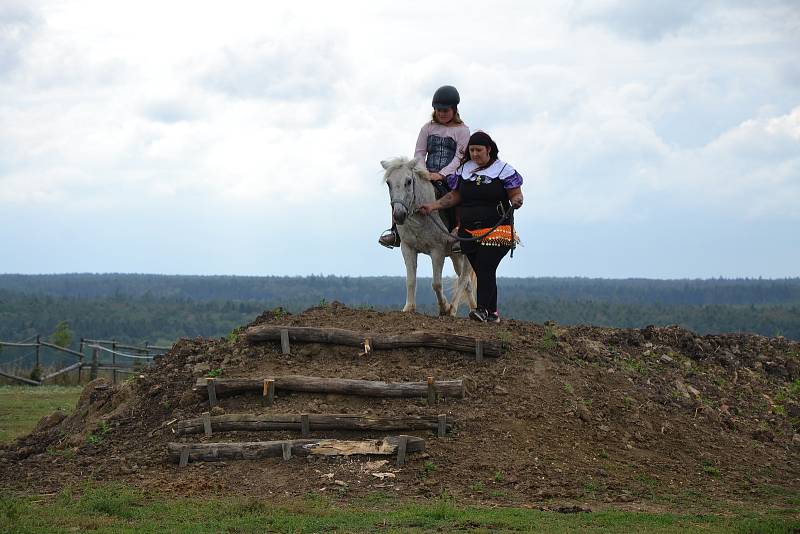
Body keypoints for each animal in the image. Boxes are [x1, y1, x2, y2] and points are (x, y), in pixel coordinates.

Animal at [382, 157, 476, 316]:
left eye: (408, 181)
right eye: (389, 183)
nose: (399, 215)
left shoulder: (437, 251)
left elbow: (436, 283)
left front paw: (444, 307)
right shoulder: (407, 248)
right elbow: (411, 280)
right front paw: (408, 308)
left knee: (463, 279)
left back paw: (452, 309)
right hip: (456, 256)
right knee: (467, 283)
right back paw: (473, 309)